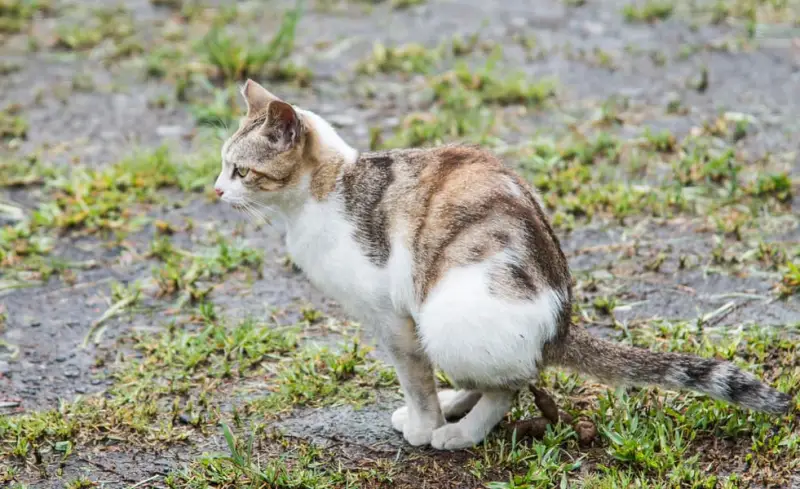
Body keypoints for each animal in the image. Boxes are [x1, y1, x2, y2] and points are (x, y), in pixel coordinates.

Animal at [214, 80, 792, 450]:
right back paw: (457, 405)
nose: (215, 190)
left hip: (446, 313)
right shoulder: (399, 321)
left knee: (512, 383)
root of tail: (559, 327)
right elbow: (420, 378)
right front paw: (432, 410)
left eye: (240, 170)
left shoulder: (392, 320)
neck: (323, 195)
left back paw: (458, 433)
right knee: (499, 374)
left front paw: (424, 424)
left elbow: (414, 378)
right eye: (222, 165)